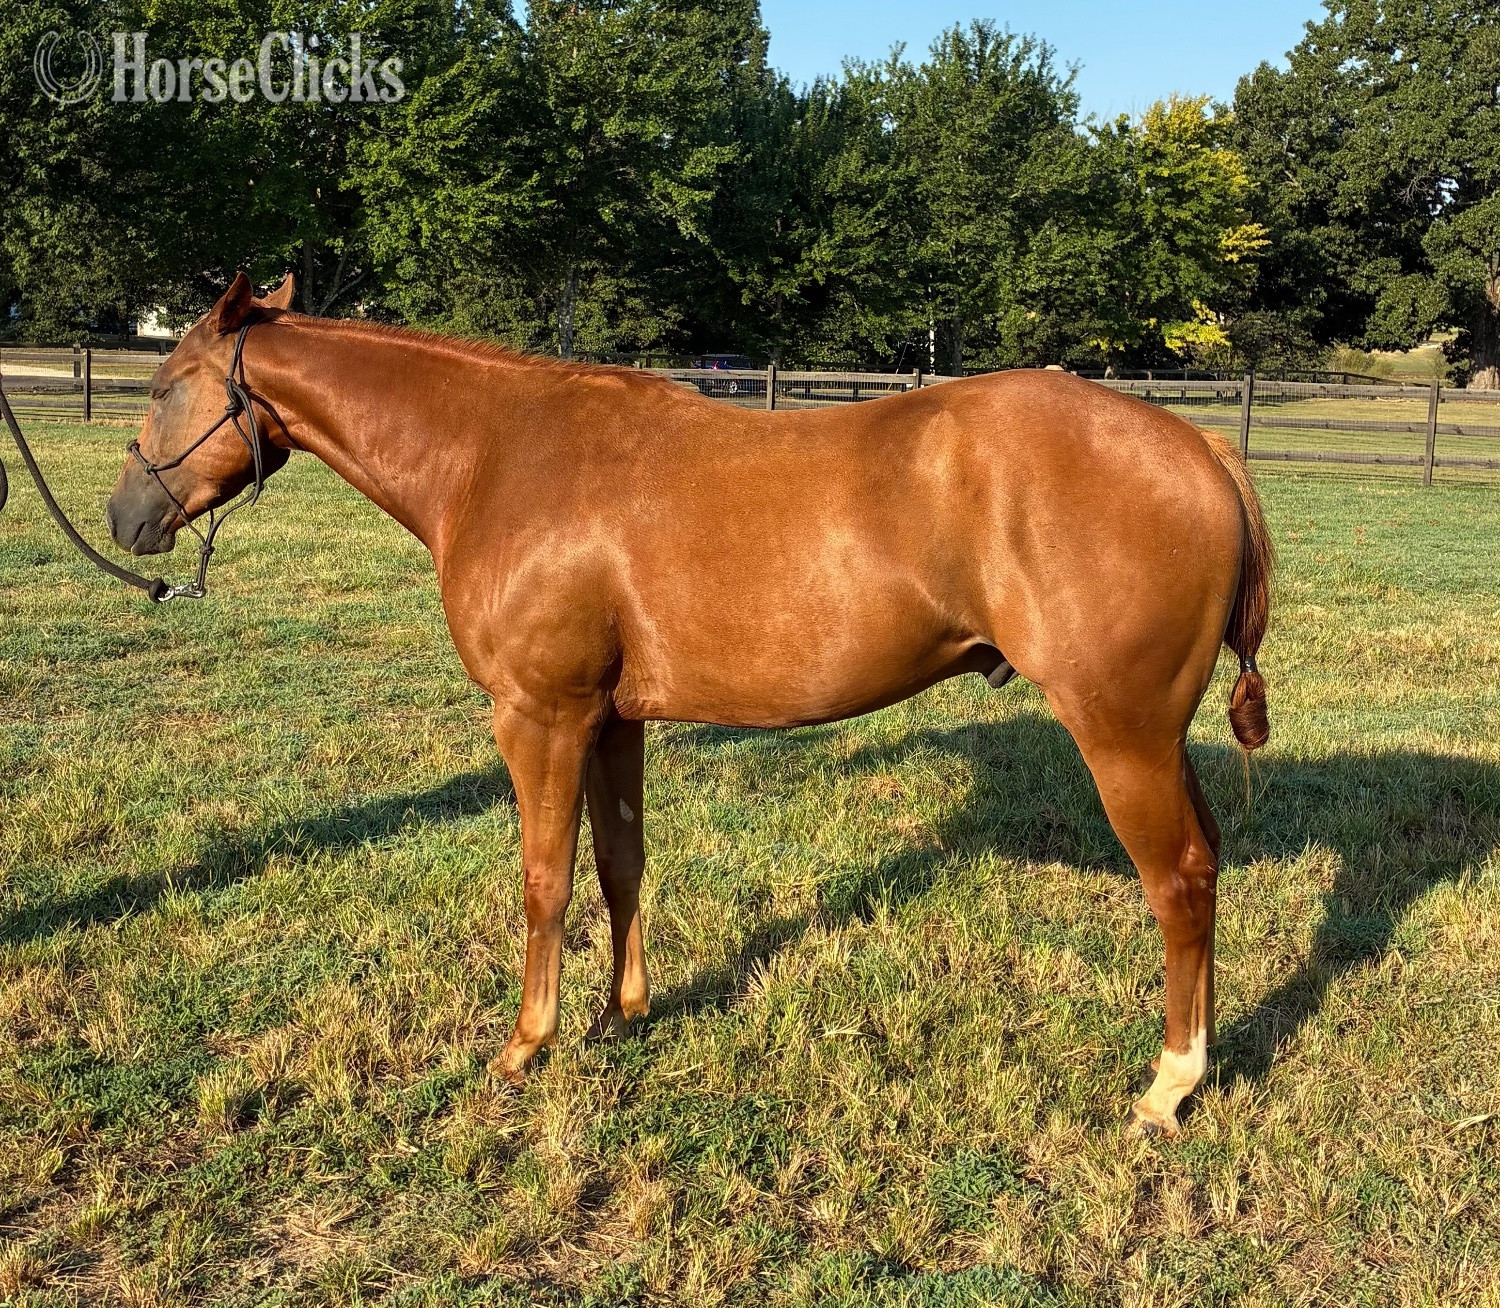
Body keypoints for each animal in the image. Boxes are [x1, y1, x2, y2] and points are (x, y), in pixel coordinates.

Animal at [106, 273, 1271, 1136]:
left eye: (166, 385)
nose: (125, 519)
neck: (495, 453)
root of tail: (1198, 447)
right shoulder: (612, 719)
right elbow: (620, 864)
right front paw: (623, 1016)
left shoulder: (539, 716)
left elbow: (544, 879)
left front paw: (526, 1046)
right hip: (1160, 739)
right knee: (1208, 864)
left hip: (1121, 735)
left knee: (1178, 881)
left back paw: (1167, 1086)